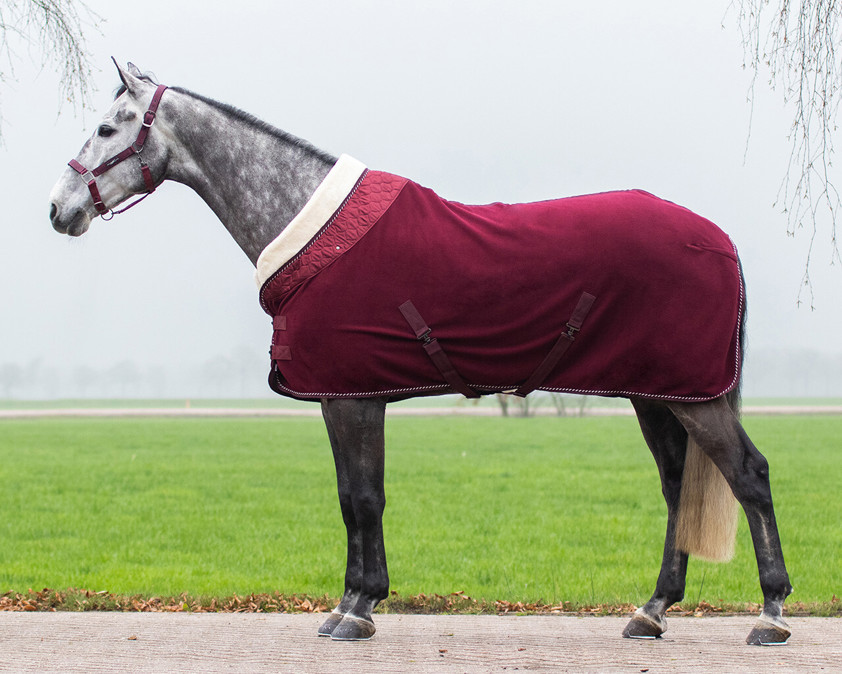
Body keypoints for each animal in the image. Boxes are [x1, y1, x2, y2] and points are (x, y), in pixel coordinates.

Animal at [49, 64, 792, 644]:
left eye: (109, 129)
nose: (58, 209)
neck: (315, 229)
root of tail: (719, 240)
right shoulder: (345, 398)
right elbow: (351, 497)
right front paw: (350, 603)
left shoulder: (353, 398)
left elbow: (363, 499)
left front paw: (358, 609)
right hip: (657, 394)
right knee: (677, 487)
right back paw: (652, 610)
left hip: (692, 399)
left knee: (749, 476)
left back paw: (771, 613)